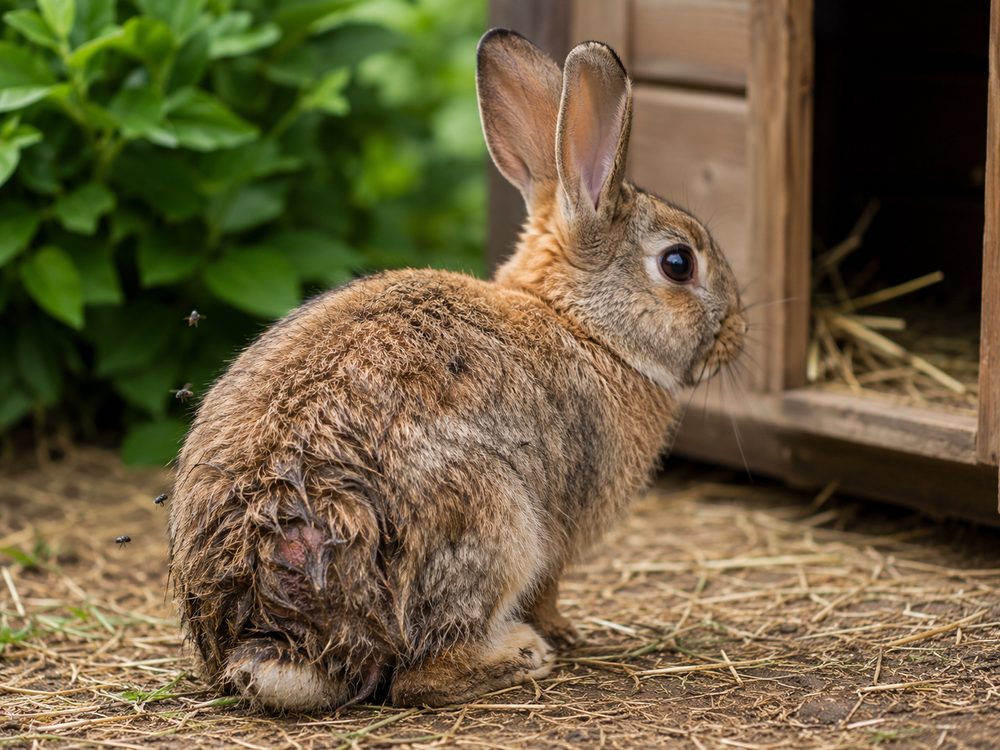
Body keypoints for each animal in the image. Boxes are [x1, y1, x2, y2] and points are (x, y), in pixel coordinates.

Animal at [168, 28, 746, 712]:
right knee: (420, 675)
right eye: (679, 263)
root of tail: (280, 639)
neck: (585, 327)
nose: (736, 334)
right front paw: (563, 632)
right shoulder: (559, 535)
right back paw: (522, 654)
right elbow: (548, 590)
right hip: (495, 522)